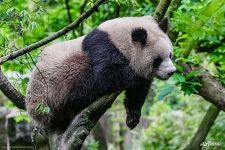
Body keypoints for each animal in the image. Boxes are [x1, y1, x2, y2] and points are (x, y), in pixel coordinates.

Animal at [24, 15, 176, 129]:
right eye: (157, 60)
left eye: (170, 55)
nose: (171, 72)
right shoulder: (102, 47)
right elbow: (103, 75)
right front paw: (137, 75)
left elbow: (137, 92)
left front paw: (132, 116)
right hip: (52, 84)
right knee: (80, 85)